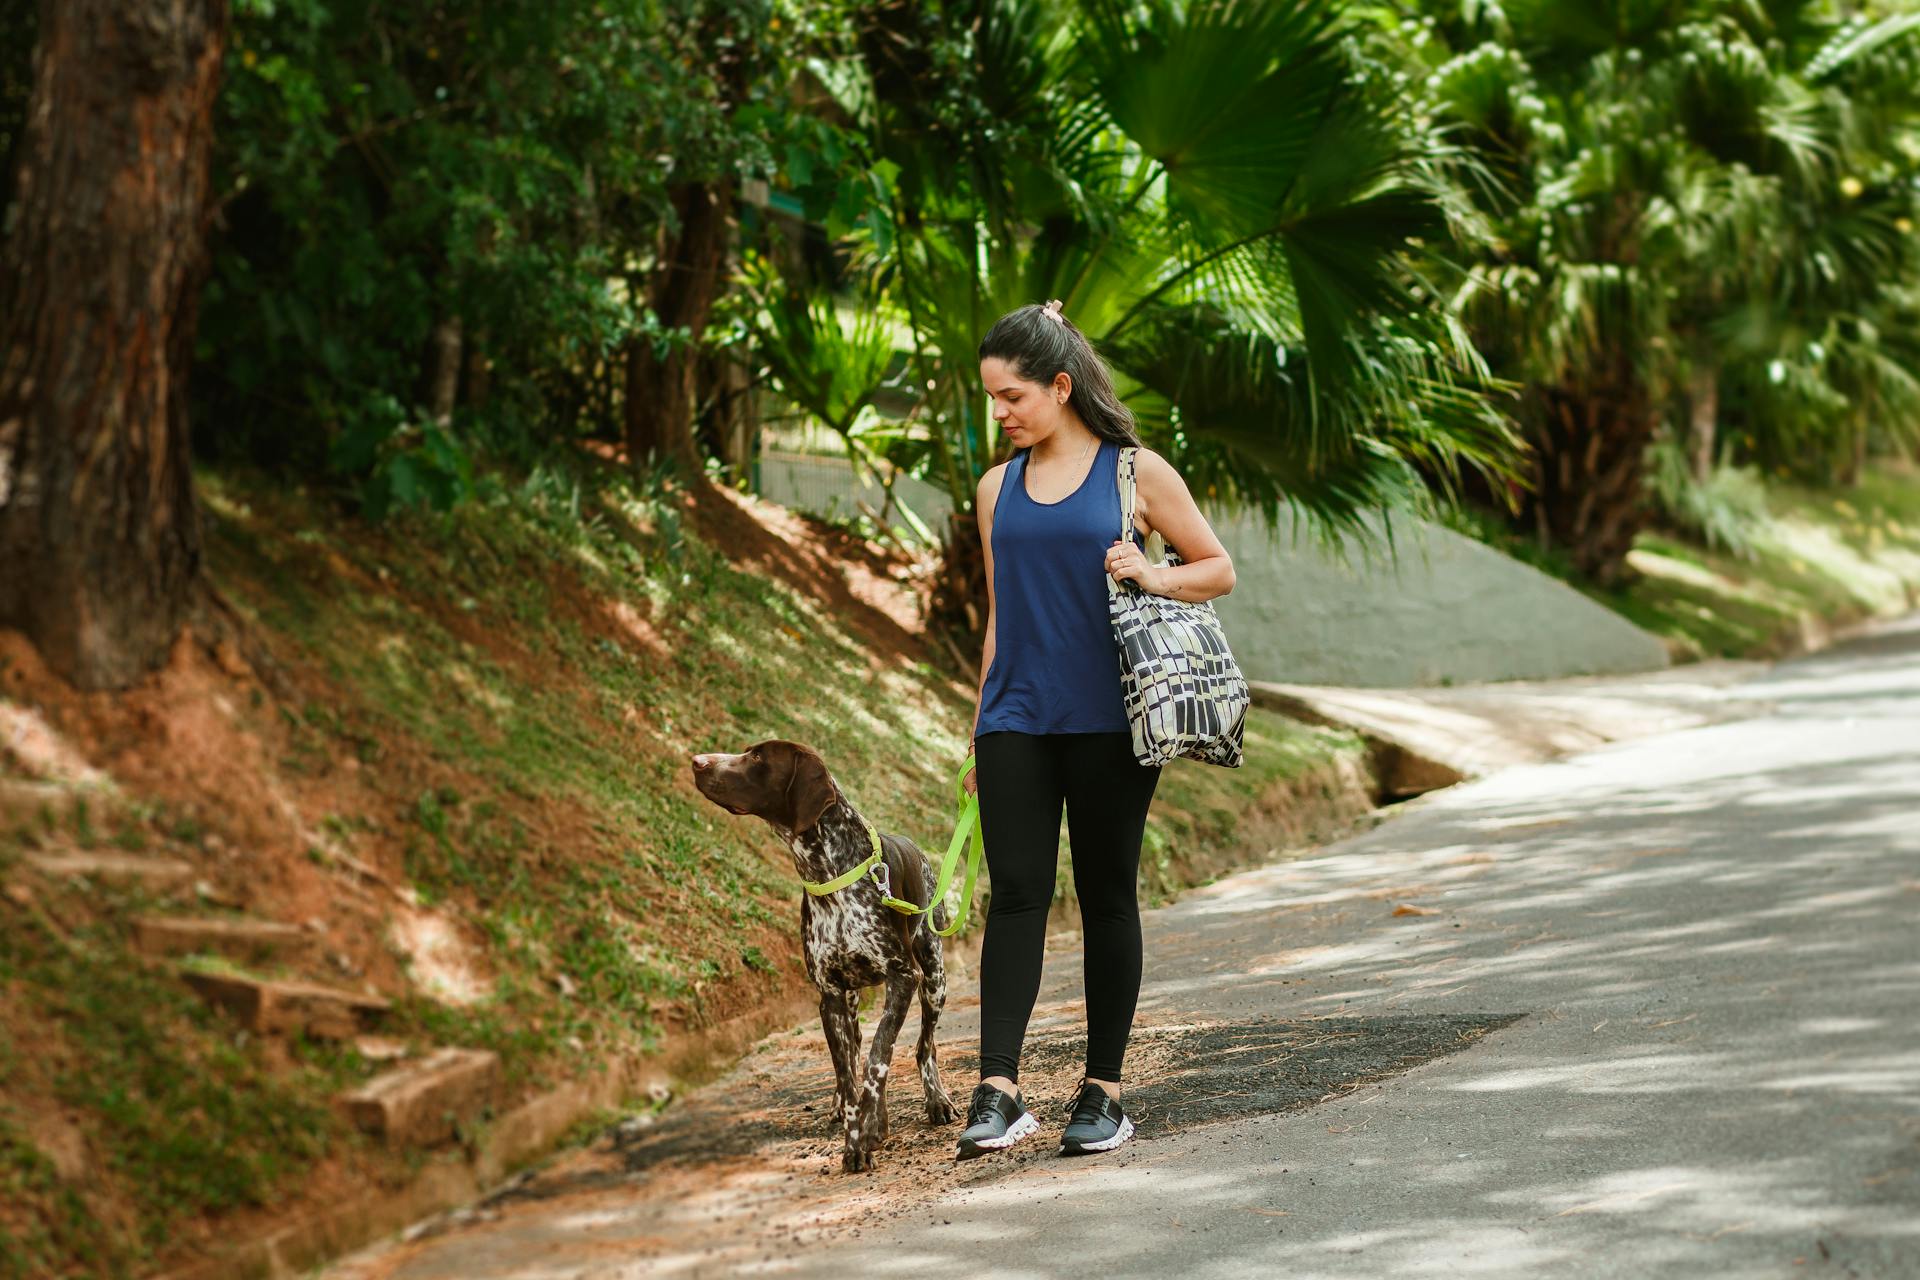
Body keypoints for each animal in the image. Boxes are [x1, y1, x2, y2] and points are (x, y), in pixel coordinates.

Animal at [691, 740, 960, 1174]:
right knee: (854, 1051)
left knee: (924, 1047)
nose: (697, 761)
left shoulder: (903, 978)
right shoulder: (829, 996)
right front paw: (854, 1144)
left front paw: (871, 1126)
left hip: (934, 979)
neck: (828, 875)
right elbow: (849, 1076)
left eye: (757, 757)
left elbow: (878, 1058)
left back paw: (935, 1101)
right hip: (851, 1001)